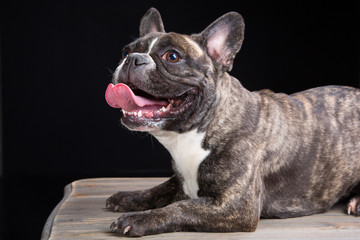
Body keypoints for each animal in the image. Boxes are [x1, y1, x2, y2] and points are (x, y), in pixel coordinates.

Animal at [103, 7, 360, 236]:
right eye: (125, 52)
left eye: (173, 56)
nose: (133, 59)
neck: (195, 133)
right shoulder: (182, 180)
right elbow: (160, 189)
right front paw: (128, 197)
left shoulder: (235, 206)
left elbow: (180, 207)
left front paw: (139, 219)